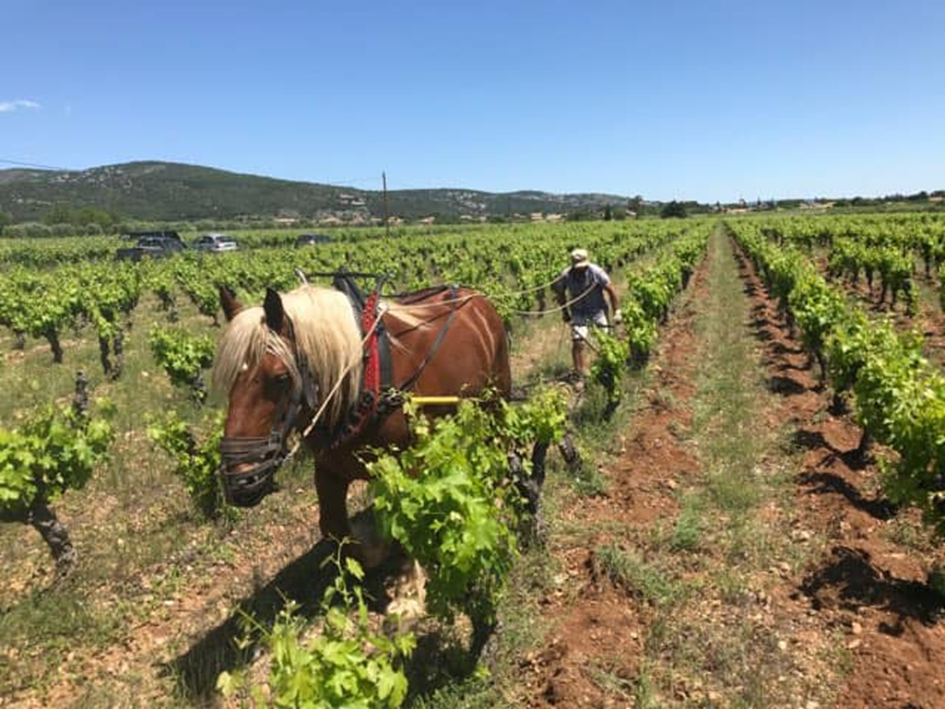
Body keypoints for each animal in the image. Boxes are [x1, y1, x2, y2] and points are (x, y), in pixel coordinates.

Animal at [211, 282, 512, 548]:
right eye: (229, 378)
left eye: (280, 377)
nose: (240, 480)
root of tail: (475, 297)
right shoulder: (329, 469)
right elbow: (334, 529)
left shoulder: (412, 465)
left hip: (497, 395)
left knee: (500, 441)